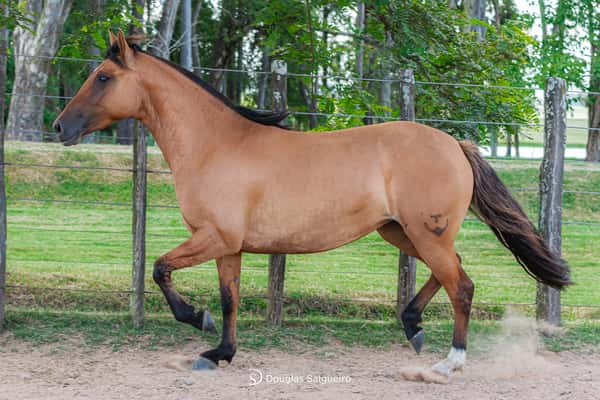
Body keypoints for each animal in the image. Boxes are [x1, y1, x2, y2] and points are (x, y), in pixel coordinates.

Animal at [52, 30, 572, 376]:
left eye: (102, 77)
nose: (59, 127)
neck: (216, 145)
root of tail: (454, 144)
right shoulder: (228, 246)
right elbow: (228, 299)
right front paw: (219, 353)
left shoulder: (214, 237)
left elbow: (160, 269)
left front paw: (196, 320)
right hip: (402, 231)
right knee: (451, 273)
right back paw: (413, 326)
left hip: (425, 232)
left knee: (460, 285)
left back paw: (450, 361)